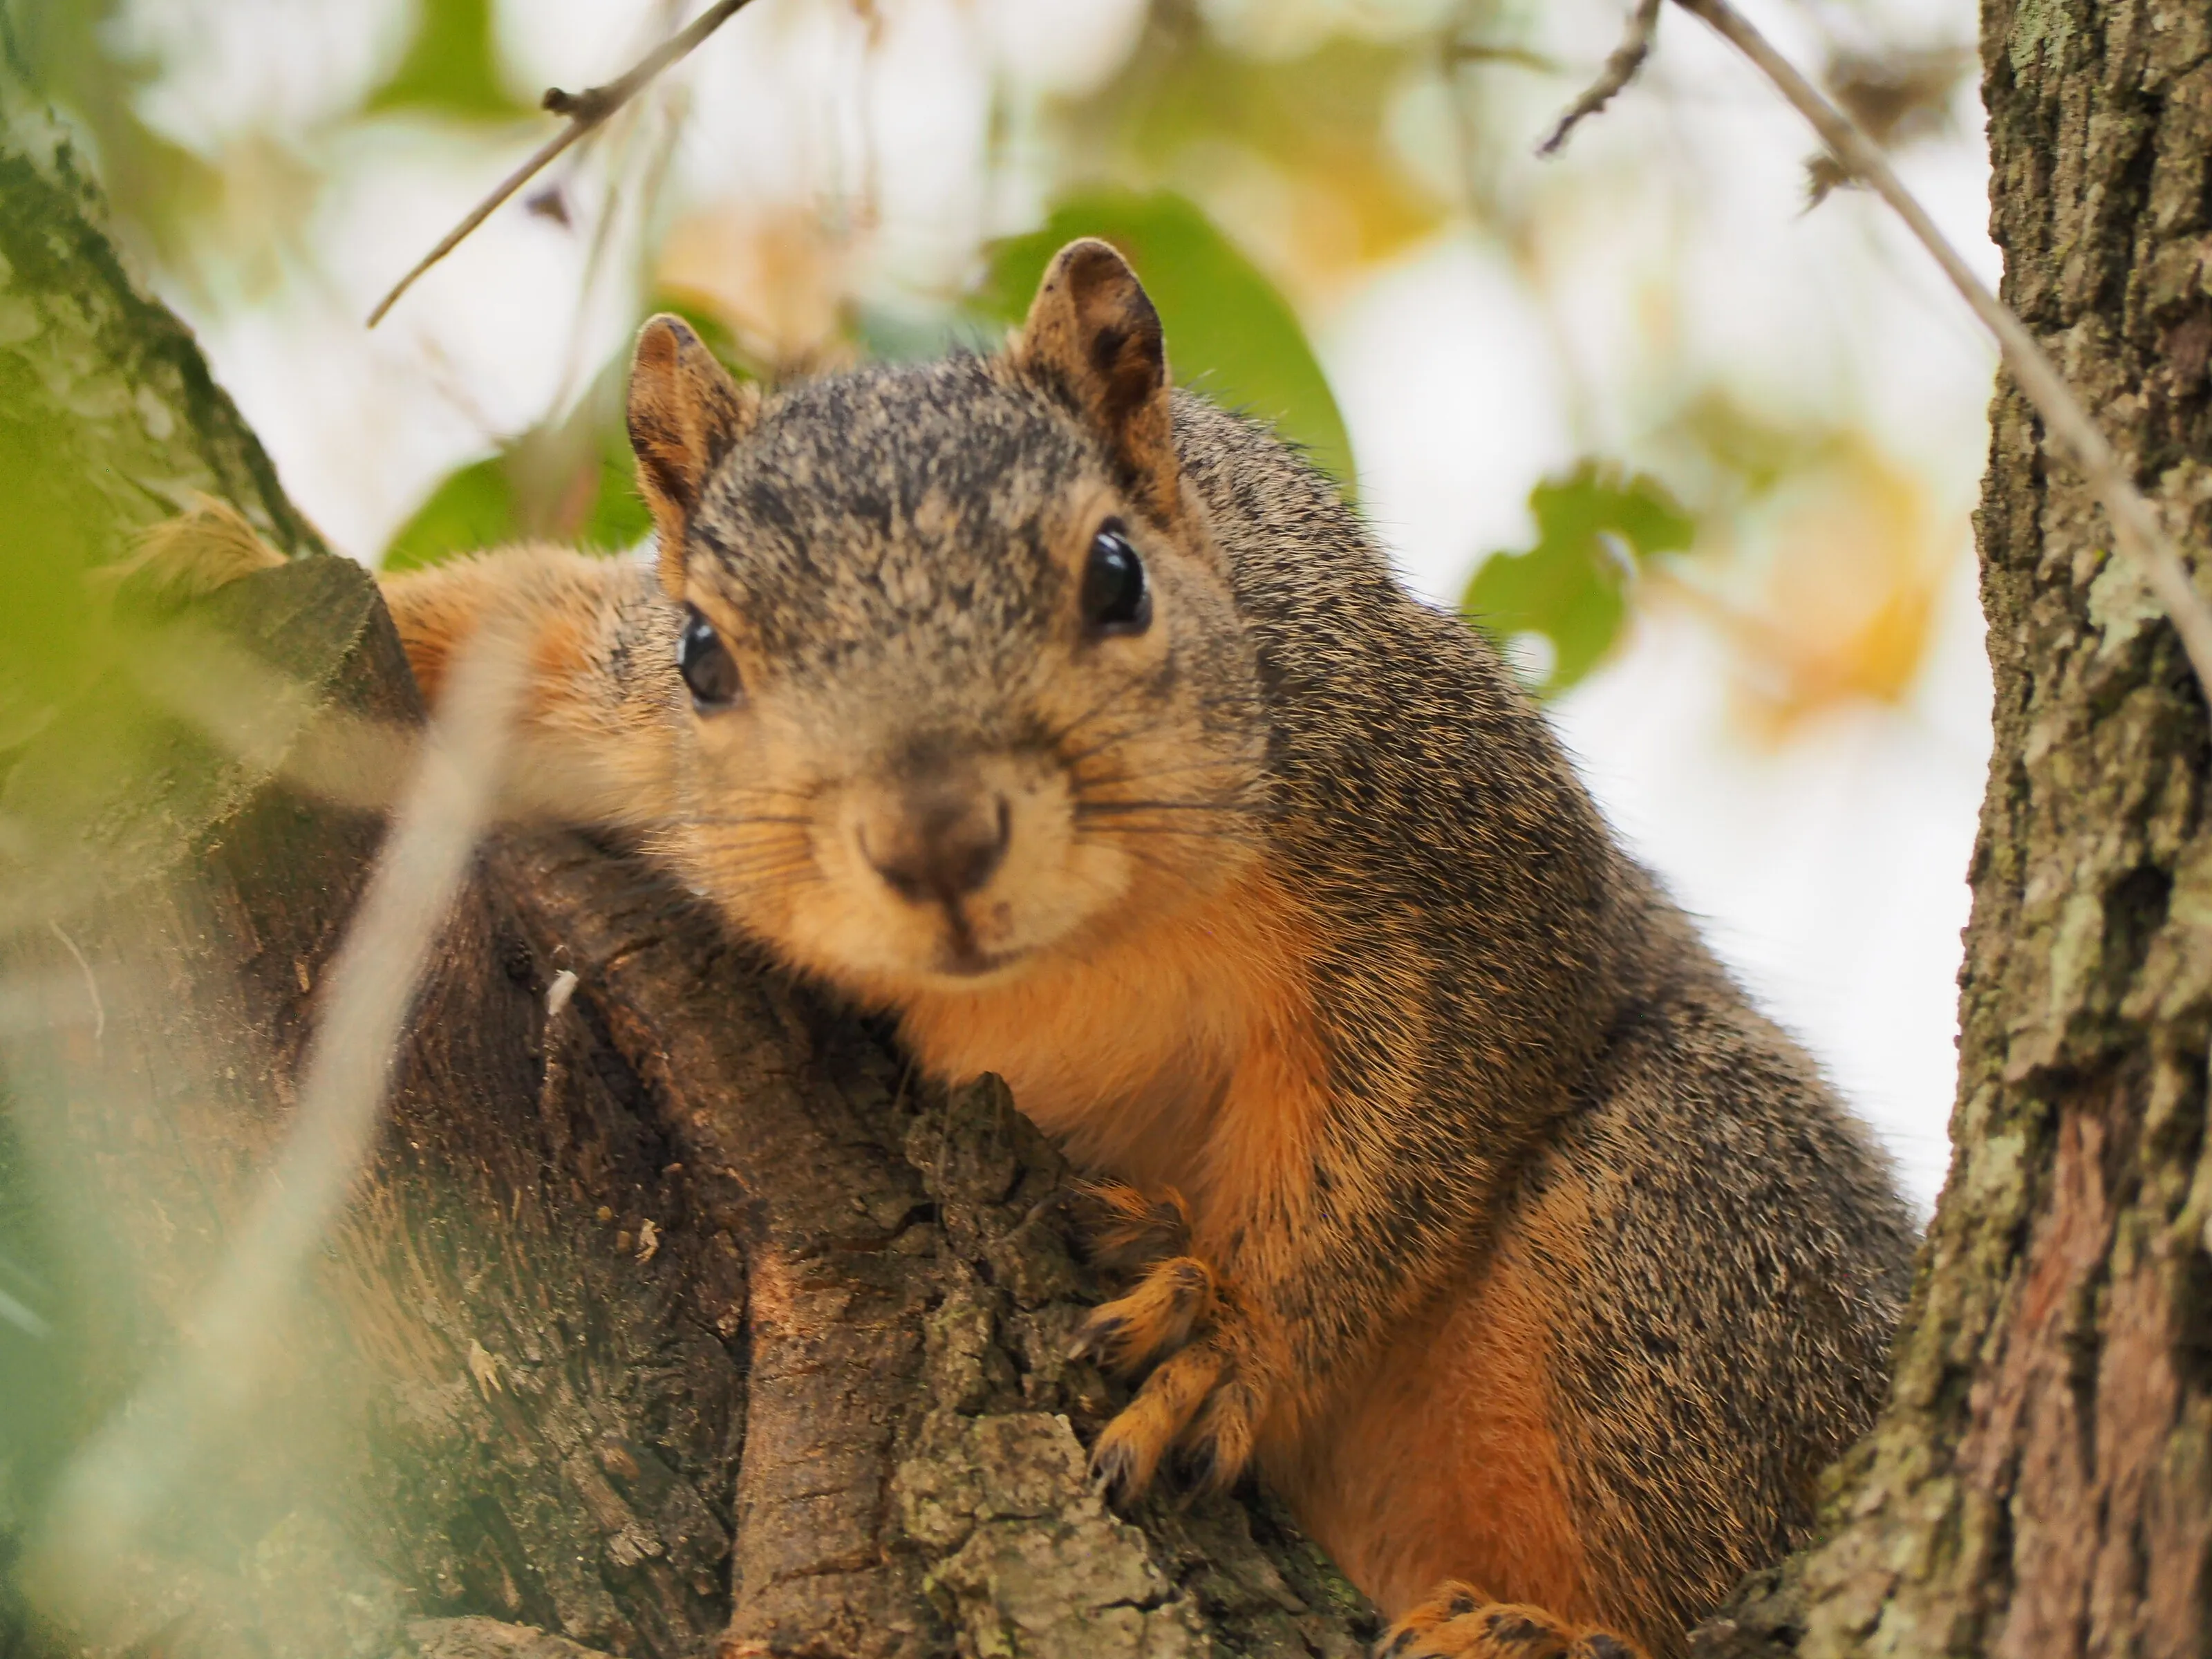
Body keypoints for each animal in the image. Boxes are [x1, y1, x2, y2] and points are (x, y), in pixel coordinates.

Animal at [151, 240, 1917, 1659]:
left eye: (1116, 574)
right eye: (707, 653)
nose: (936, 838)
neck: (1066, 954)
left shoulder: (1446, 828)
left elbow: (1408, 1129)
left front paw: (1230, 1332)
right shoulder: (611, 718)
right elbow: (497, 628)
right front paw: (194, 573)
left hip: (1676, 1242)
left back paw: (1533, 1628)